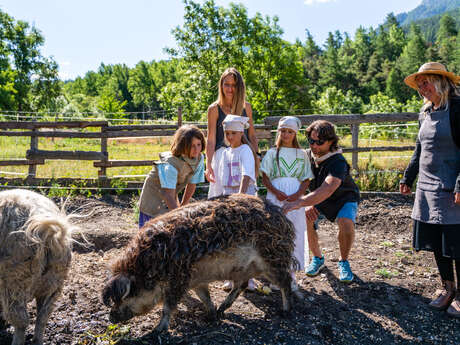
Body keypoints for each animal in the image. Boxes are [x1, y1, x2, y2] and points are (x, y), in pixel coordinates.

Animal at [102, 194, 300, 330]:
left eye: (124, 297)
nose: (111, 317)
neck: (150, 267)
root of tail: (283, 218)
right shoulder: (195, 279)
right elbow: (205, 297)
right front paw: (210, 316)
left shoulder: (178, 280)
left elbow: (168, 307)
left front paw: (157, 330)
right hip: (244, 268)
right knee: (241, 285)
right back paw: (221, 310)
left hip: (272, 260)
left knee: (285, 282)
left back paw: (285, 311)